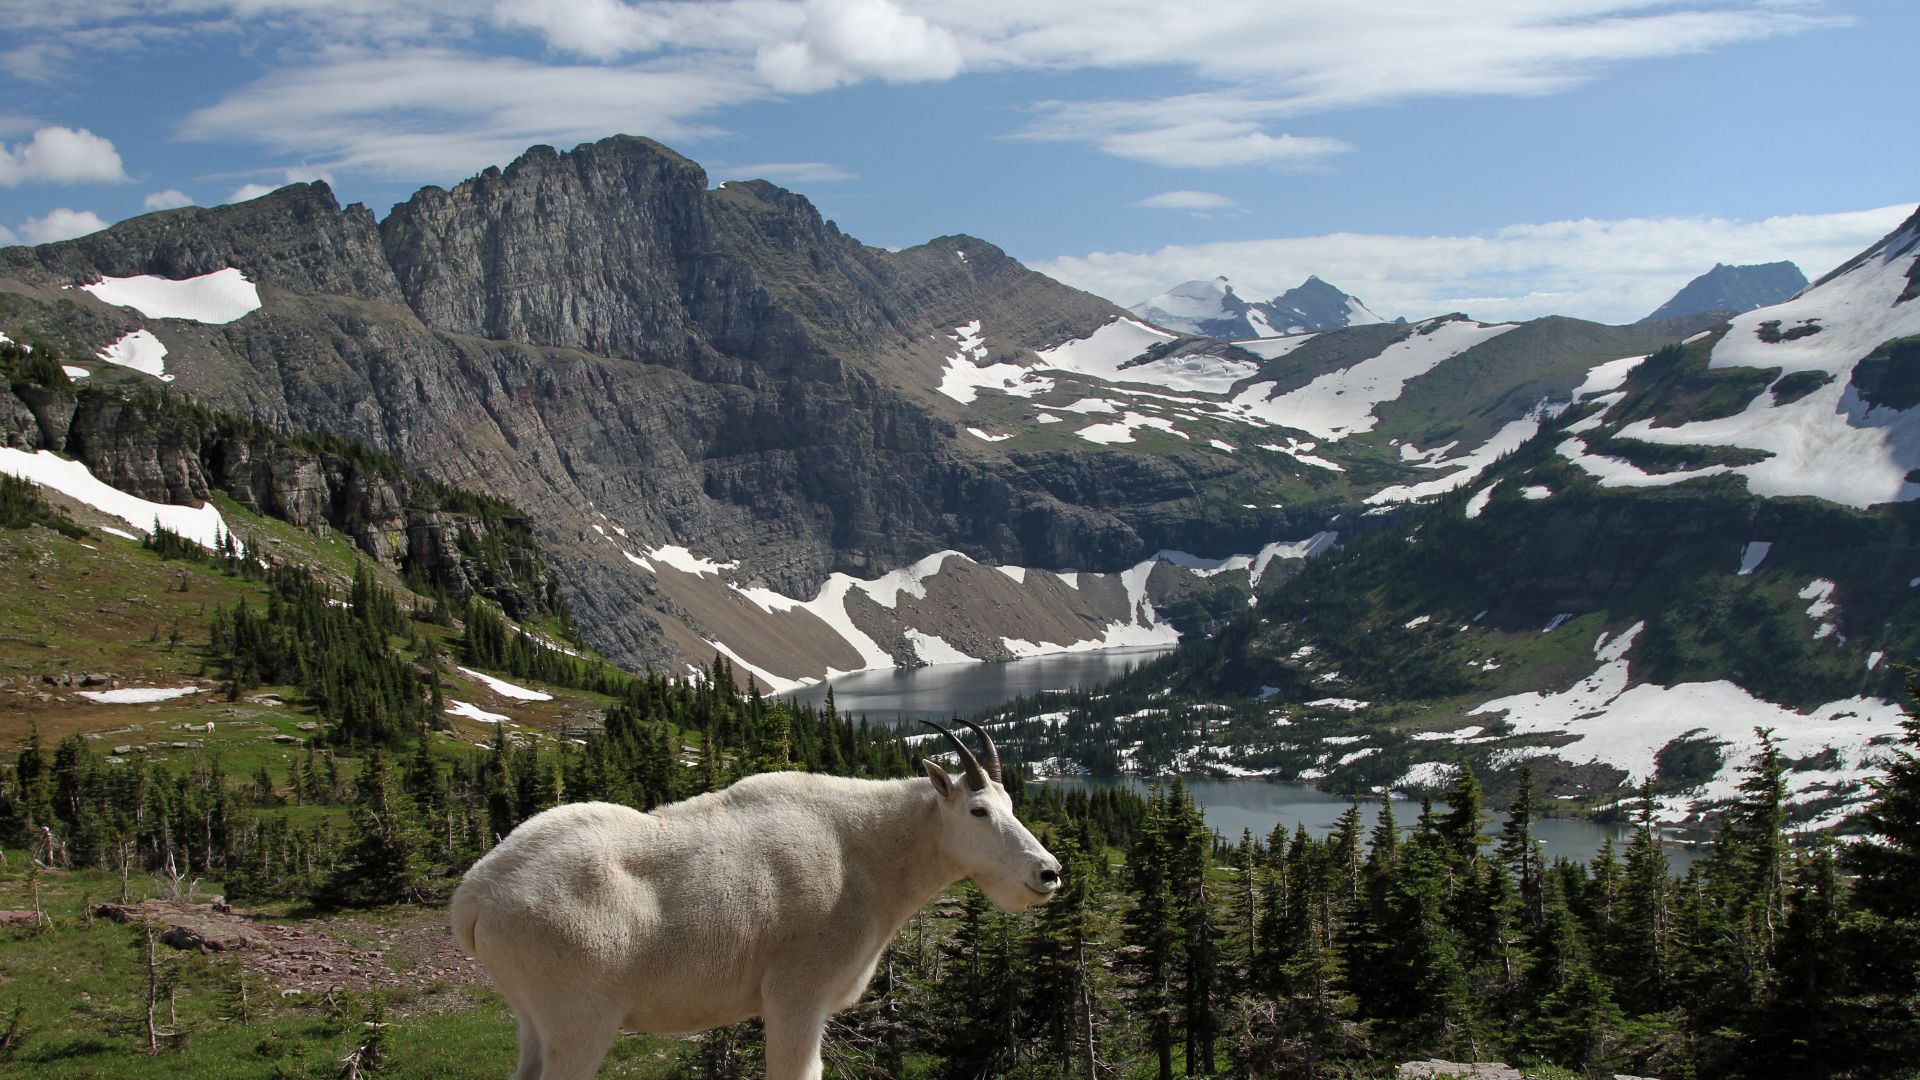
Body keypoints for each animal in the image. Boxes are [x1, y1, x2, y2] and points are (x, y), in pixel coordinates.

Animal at [451, 718, 1061, 1080]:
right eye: (979, 811)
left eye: (1011, 804)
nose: (1049, 873)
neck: (866, 854)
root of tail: (475, 895)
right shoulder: (796, 996)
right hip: (580, 1020)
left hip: (533, 1018)